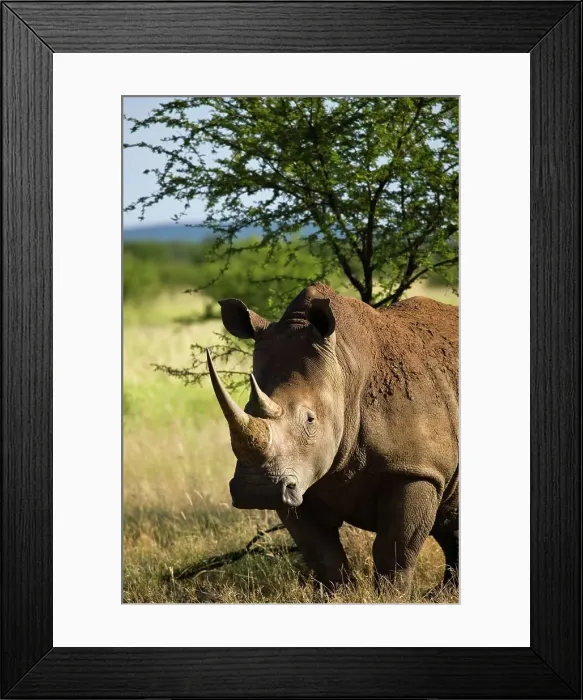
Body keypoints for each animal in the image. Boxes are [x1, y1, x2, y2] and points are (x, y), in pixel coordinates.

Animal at [206, 283, 459, 594]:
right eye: (246, 408)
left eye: (310, 420)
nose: (255, 490)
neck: (345, 369)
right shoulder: (298, 476)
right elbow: (322, 553)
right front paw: (340, 595)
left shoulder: (417, 469)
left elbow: (395, 550)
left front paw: (391, 596)